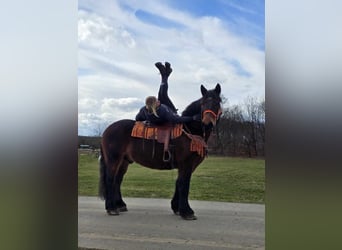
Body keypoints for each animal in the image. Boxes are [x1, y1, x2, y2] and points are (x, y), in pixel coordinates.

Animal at [99, 83, 222, 219]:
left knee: (117, 180)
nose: (207, 121)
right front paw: (186, 211)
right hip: (113, 159)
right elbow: (184, 185)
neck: (189, 131)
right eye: (203, 103)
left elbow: (178, 183)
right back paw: (111, 208)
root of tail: (107, 130)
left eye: (217, 102)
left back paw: (120, 205)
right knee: (110, 179)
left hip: (124, 161)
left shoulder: (188, 166)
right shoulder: (186, 164)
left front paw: (177, 208)